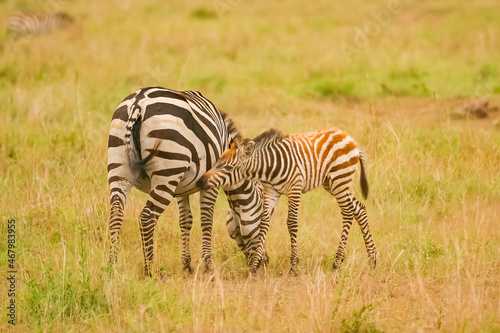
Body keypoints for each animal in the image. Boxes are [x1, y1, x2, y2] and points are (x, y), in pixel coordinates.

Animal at [105, 86, 262, 274]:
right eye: (263, 216)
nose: (264, 262)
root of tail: (138, 101)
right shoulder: (210, 183)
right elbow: (206, 220)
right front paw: (209, 267)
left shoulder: (181, 187)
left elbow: (186, 220)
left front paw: (187, 265)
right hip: (167, 171)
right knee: (147, 217)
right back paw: (150, 271)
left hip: (120, 168)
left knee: (116, 213)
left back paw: (112, 267)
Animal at [197, 127, 376, 272]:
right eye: (217, 161)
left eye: (228, 167)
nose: (201, 181)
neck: (269, 168)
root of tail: (349, 138)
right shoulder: (271, 192)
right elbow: (264, 223)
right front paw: (254, 266)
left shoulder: (295, 189)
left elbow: (291, 223)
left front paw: (293, 266)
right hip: (331, 183)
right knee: (359, 208)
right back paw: (372, 259)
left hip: (339, 179)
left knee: (347, 212)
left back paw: (337, 262)